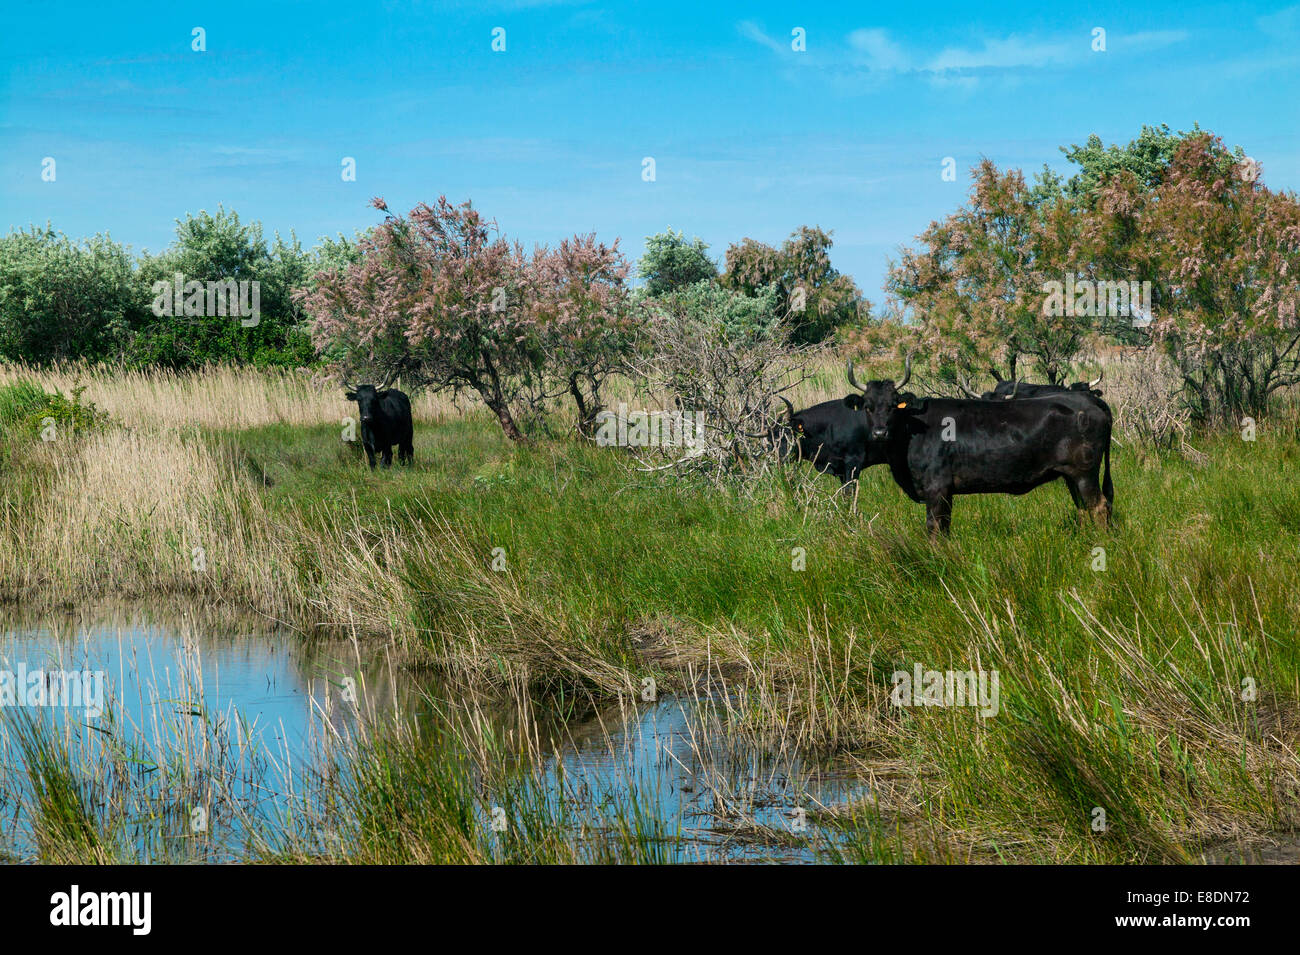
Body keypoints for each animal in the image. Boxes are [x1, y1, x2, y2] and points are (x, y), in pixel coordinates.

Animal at [847, 358, 1112, 537]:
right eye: (868, 406)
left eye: (893, 405)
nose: (880, 433)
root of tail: (1087, 398)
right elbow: (944, 529)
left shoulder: (937, 489)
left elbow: (934, 529)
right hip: (1070, 475)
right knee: (1083, 508)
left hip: (1084, 473)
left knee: (1099, 507)